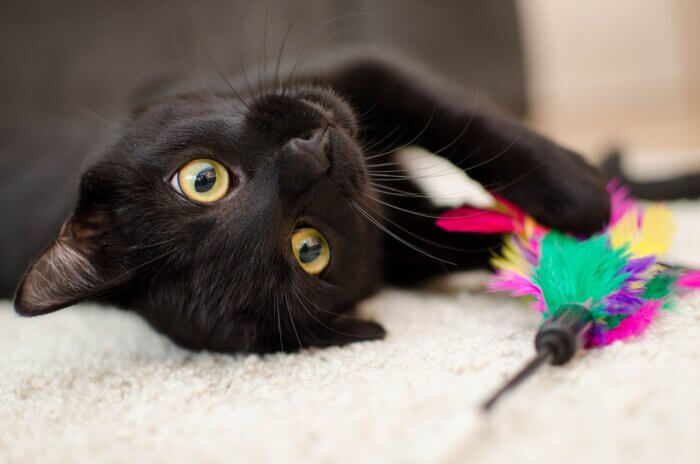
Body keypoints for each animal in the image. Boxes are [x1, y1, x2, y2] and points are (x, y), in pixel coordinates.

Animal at [13, 50, 608, 354]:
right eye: (309, 250)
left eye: (203, 179)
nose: (310, 157)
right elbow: (479, 237)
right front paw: (590, 247)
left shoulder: (360, 70)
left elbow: (456, 117)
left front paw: (579, 194)